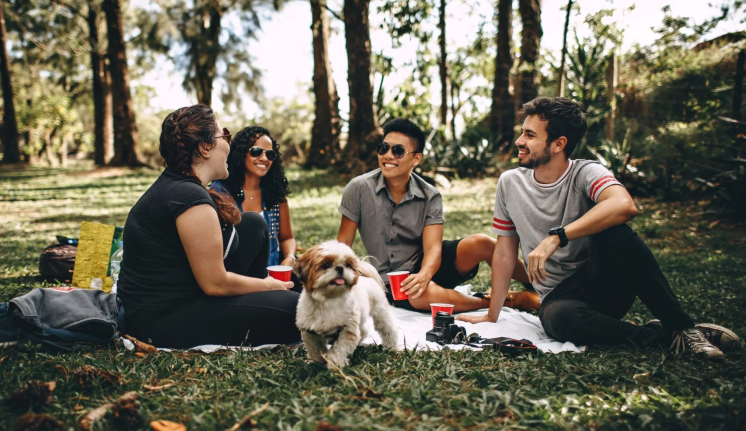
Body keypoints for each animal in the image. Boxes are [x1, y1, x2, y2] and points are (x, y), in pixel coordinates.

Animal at [292, 241, 398, 370]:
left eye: (347, 265)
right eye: (326, 265)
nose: (340, 268)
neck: (328, 300)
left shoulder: (347, 329)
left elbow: (339, 349)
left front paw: (335, 364)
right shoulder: (309, 332)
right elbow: (315, 349)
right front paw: (315, 362)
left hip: (380, 313)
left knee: (389, 329)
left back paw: (391, 347)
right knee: (363, 330)